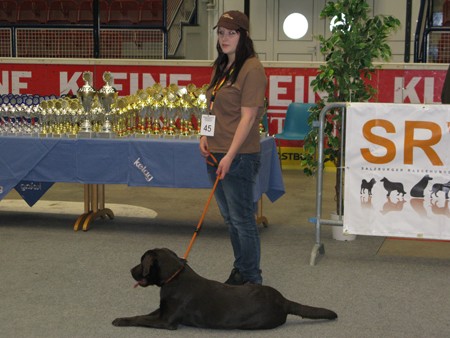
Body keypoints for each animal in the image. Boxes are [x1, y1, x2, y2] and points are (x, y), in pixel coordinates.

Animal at [112, 248, 338, 330]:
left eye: (141, 262)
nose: (130, 270)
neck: (175, 277)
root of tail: (284, 300)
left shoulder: (166, 321)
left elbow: (142, 320)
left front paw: (120, 321)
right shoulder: (162, 311)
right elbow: (140, 315)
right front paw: (123, 318)